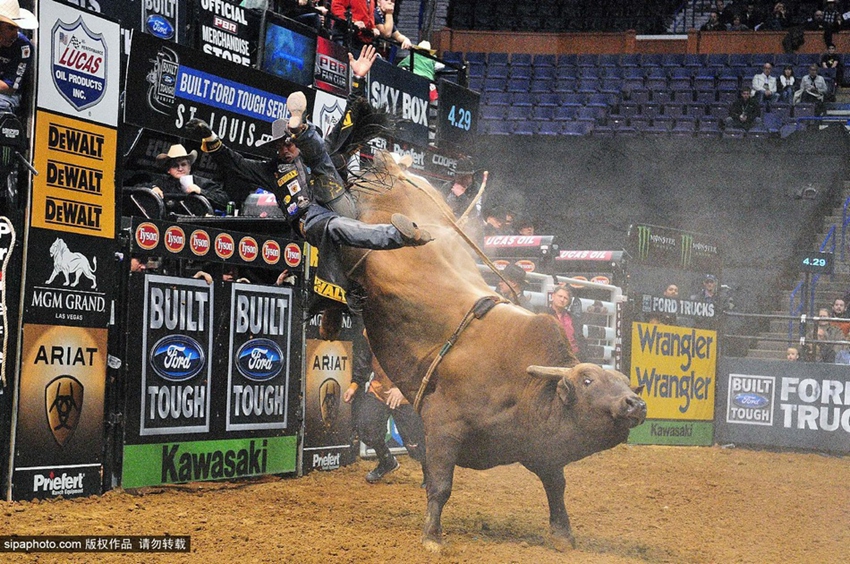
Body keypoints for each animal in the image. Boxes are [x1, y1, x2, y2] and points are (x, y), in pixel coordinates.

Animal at [338, 152, 644, 548]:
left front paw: (563, 534)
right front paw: (432, 536)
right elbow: (440, 485)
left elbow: (556, 486)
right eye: (588, 380)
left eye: (625, 383)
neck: (527, 385)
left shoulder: (538, 448)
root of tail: (396, 171)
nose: (635, 403)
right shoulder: (444, 427)